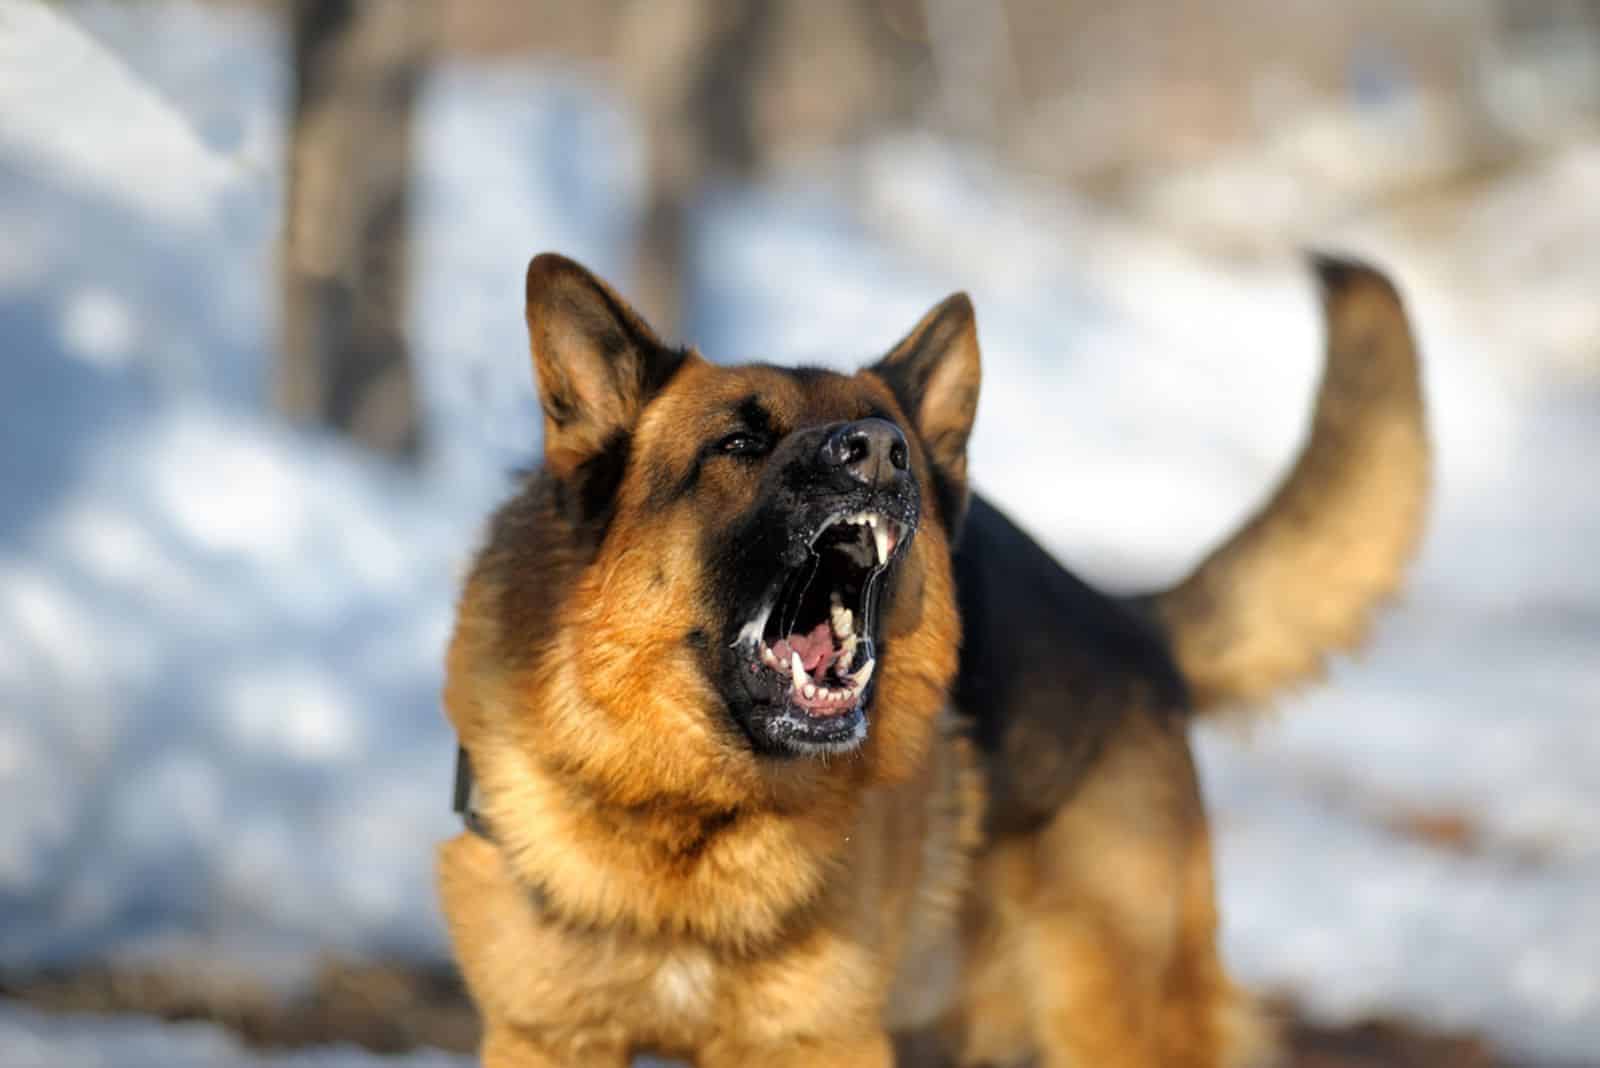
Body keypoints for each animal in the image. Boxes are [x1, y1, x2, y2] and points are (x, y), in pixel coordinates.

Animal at [435, 252, 1427, 1068]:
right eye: (739, 443)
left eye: (889, 437)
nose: (880, 453)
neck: (694, 815)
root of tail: (1120, 621)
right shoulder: (547, 1037)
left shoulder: (818, 1043)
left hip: (1109, 1018)